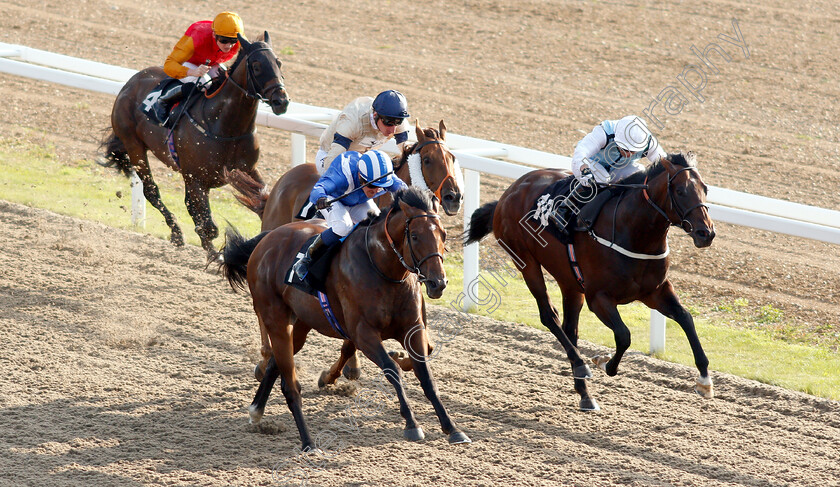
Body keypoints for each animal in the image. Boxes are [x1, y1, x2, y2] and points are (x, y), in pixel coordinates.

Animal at [97, 33, 288, 255]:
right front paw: (213, 248)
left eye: (278, 63)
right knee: (151, 191)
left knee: (187, 203)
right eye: (256, 66)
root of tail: (130, 82)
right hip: (134, 147)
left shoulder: (247, 171)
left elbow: (262, 203)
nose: (282, 101)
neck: (226, 126)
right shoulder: (198, 178)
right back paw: (177, 233)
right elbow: (209, 225)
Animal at [217, 188, 470, 450]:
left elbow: (427, 377)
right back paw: (299, 435)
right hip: (275, 317)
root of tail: (266, 239)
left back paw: (257, 410)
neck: (383, 268)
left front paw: (453, 428)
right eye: (416, 236)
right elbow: (392, 371)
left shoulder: (413, 328)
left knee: (276, 363)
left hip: (301, 324)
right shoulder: (364, 333)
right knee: (286, 373)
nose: (438, 283)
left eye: (443, 234)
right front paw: (411, 424)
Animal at [466, 152, 716, 412]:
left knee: (570, 329)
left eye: (705, 189)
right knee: (549, 316)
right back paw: (582, 366)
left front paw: (705, 381)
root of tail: (509, 192)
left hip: (569, 280)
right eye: (680, 191)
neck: (633, 231)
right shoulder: (599, 299)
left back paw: (585, 394)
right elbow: (624, 335)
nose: (706, 233)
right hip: (525, 261)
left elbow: (686, 318)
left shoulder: (656, 291)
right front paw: (603, 362)